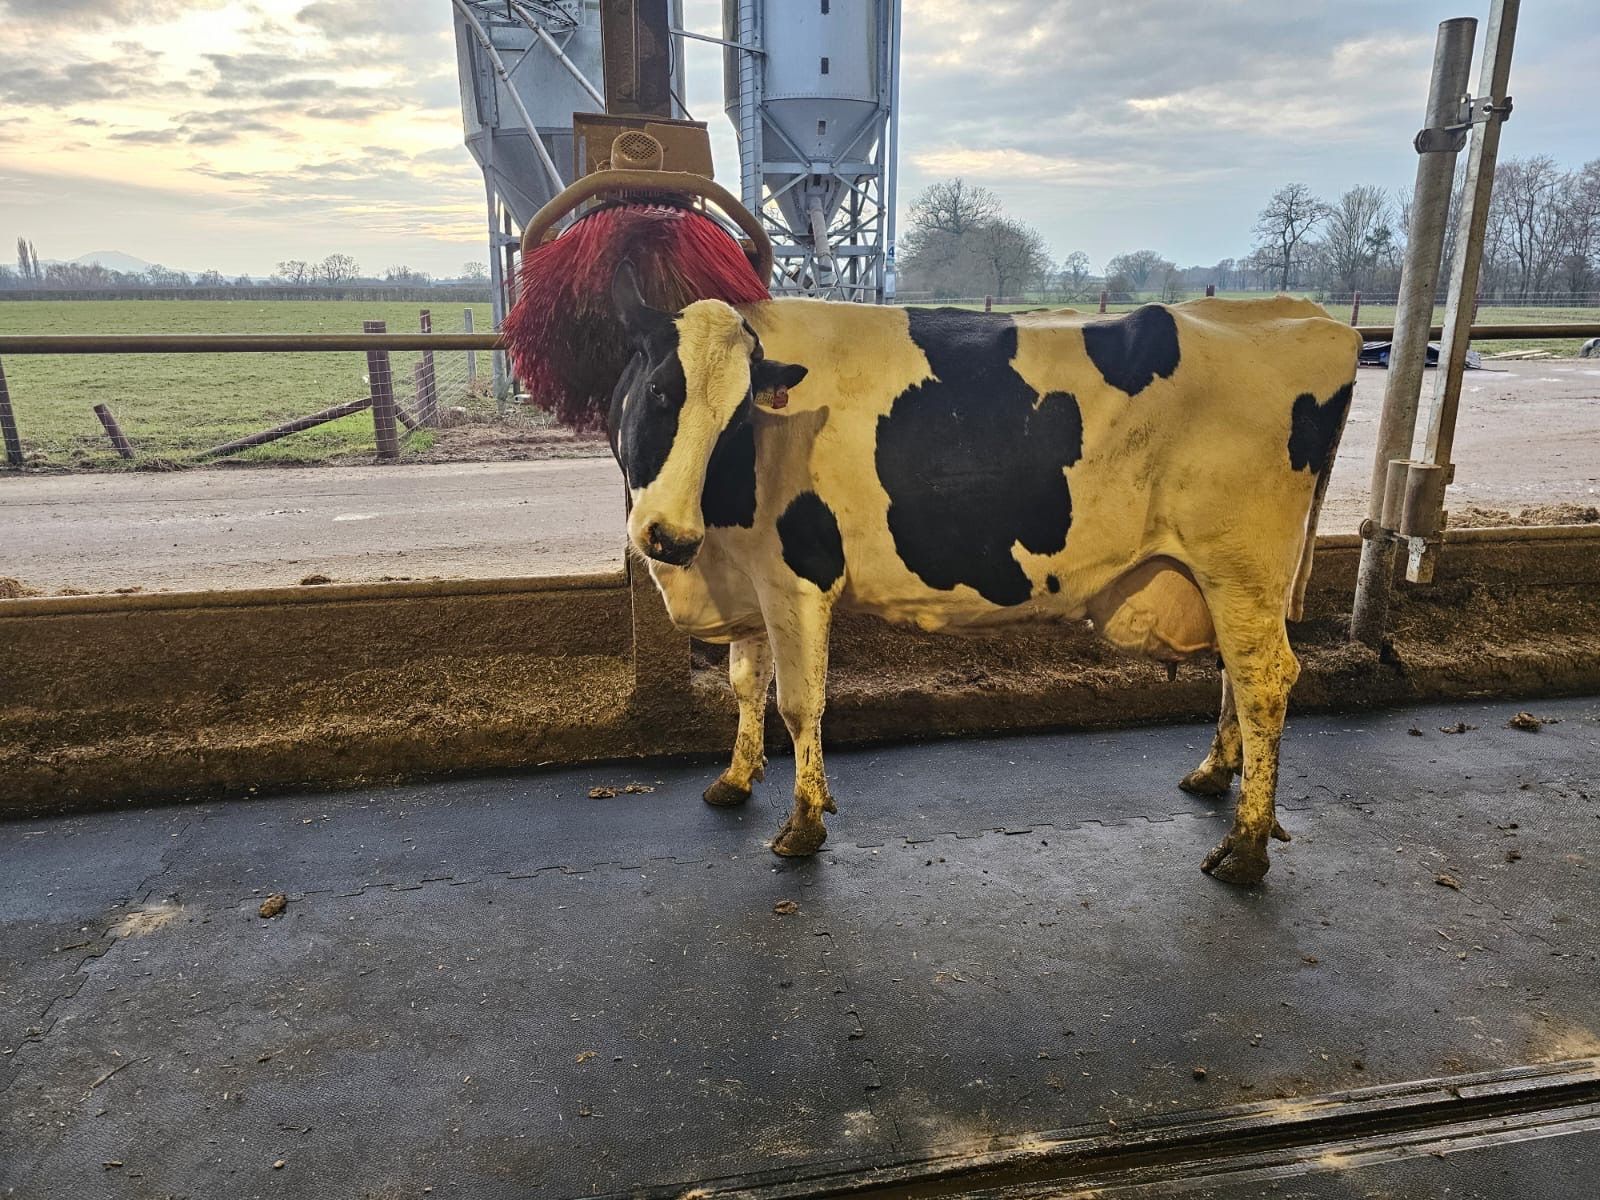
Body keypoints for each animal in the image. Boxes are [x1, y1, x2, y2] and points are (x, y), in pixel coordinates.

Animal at [607, 266, 1362, 884]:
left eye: (737, 416)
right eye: (659, 390)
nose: (669, 534)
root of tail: (1312, 318)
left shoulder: (800, 578)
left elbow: (799, 702)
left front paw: (804, 822)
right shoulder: (753, 577)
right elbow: (745, 682)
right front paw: (735, 778)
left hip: (1240, 566)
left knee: (1265, 680)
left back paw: (1247, 845)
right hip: (1231, 582)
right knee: (1238, 670)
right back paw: (1214, 774)